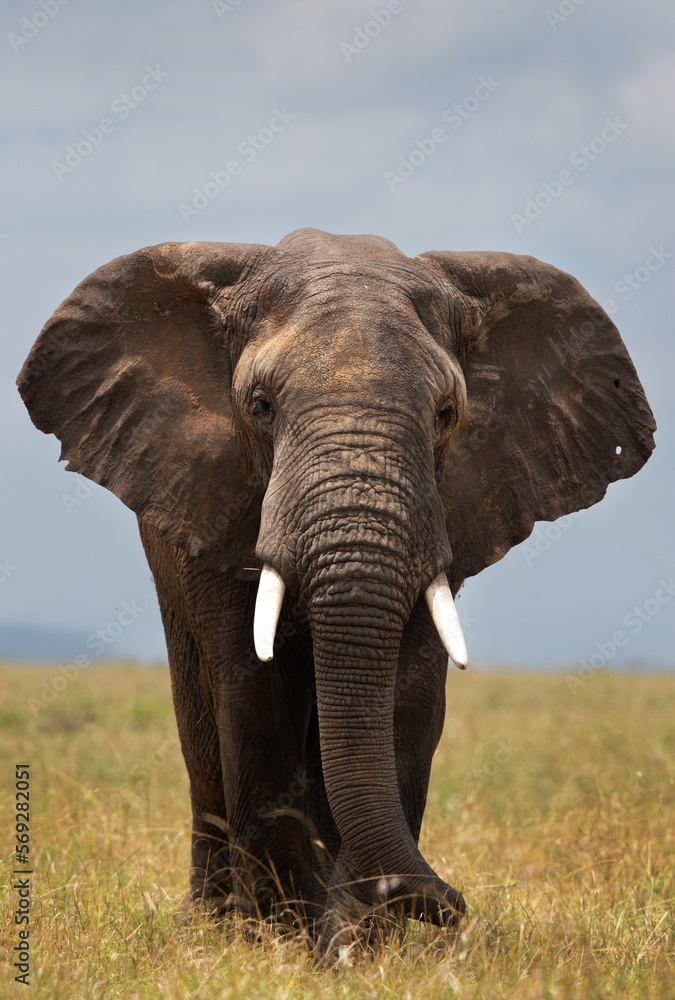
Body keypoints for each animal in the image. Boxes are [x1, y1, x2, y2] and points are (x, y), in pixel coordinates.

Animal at [18, 228, 655, 955]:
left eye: (447, 414)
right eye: (260, 407)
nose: (452, 903)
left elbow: (407, 700)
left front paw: (363, 939)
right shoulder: (218, 496)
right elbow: (254, 695)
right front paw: (288, 940)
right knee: (201, 726)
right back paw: (210, 924)